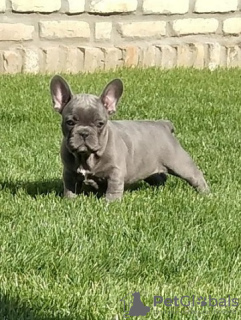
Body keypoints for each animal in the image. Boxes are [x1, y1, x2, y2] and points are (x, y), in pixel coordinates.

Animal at [50, 75, 209, 201]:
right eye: (70, 122)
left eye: (100, 124)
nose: (84, 132)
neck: (86, 156)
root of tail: (163, 124)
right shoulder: (69, 173)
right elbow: (70, 188)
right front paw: (70, 201)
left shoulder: (115, 172)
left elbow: (113, 189)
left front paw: (110, 203)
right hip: (148, 165)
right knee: (159, 177)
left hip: (179, 163)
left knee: (196, 176)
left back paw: (206, 194)